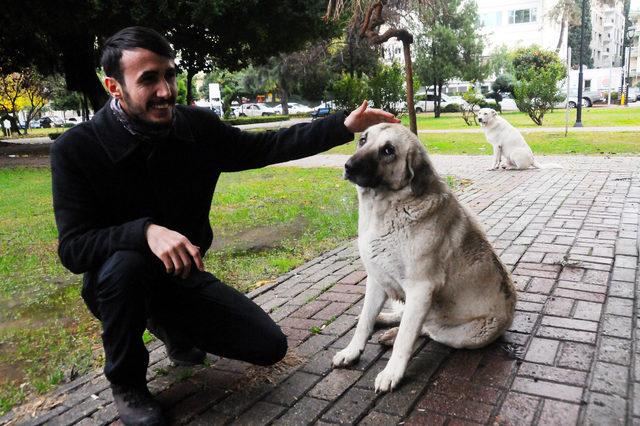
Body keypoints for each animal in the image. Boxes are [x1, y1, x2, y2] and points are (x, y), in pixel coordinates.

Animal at [332, 123, 516, 392]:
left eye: (388, 150)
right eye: (363, 140)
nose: (348, 166)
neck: (386, 209)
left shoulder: (421, 289)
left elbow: (406, 338)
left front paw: (392, 373)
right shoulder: (377, 279)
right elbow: (365, 320)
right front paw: (352, 351)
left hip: (465, 334)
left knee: (427, 330)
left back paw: (392, 334)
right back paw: (385, 320)